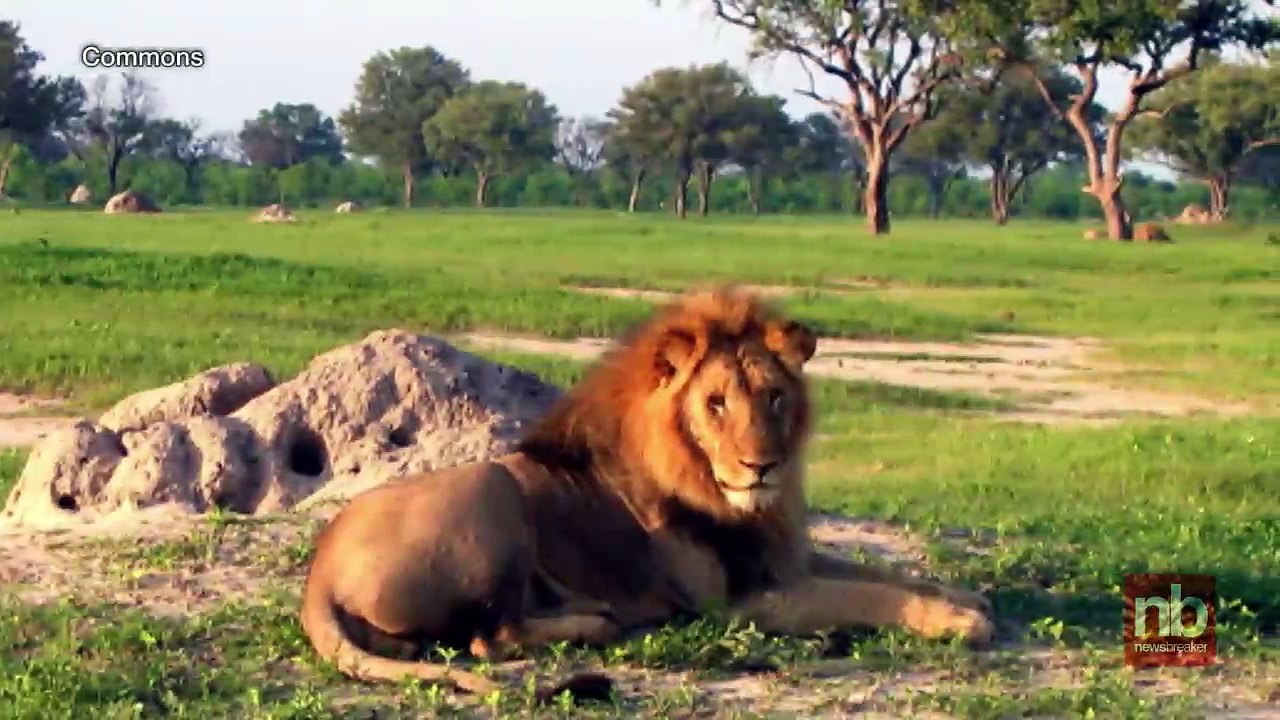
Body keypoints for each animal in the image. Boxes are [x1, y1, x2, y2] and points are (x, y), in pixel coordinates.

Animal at [301, 287, 994, 695]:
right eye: (715, 403)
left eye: (774, 396)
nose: (762, 466)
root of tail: (318, 577)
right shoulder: (736, 601)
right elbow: (866, 595)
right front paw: (961, 621)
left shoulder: (782, 558)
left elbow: (886, 574)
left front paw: (964, 597)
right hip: (490, 484)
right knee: (489, 637)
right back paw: (599, 622)